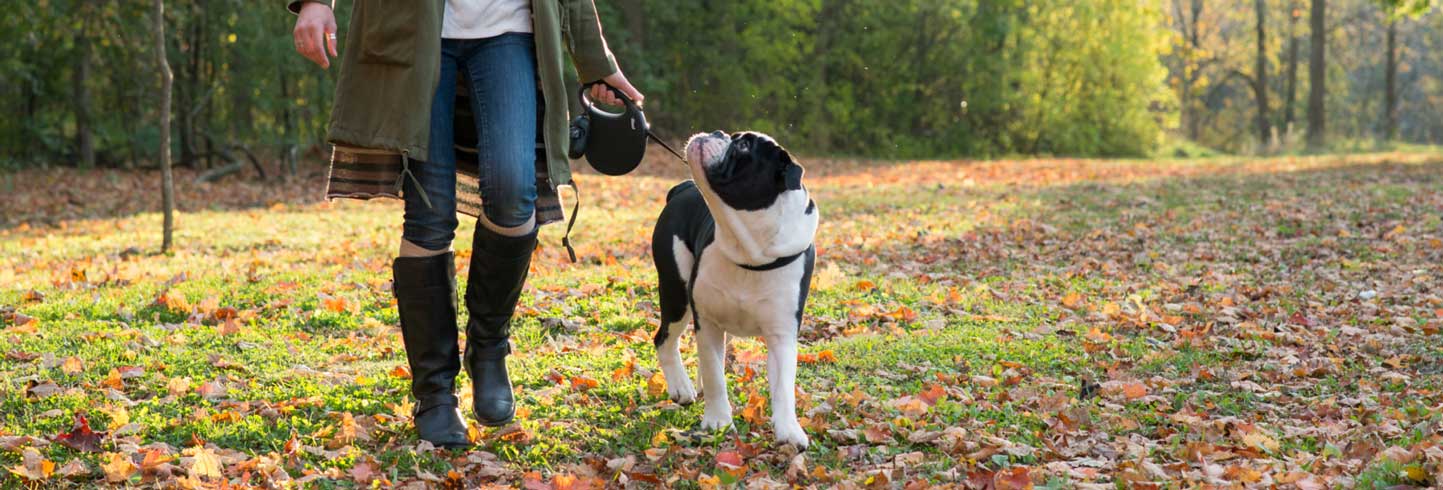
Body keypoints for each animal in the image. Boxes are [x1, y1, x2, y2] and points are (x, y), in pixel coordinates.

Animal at [652, 131, 819, 446]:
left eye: (742, 146)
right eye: (735, 138)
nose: (716, 133)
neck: (751, 250)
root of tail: (682, 188)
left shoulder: (781, 334)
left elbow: (783, 385)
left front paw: (789, 430)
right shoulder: (708, 321)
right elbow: (716, 377)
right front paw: (718, 420)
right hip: (676, 293)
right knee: (666, 340)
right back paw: (681, 387)